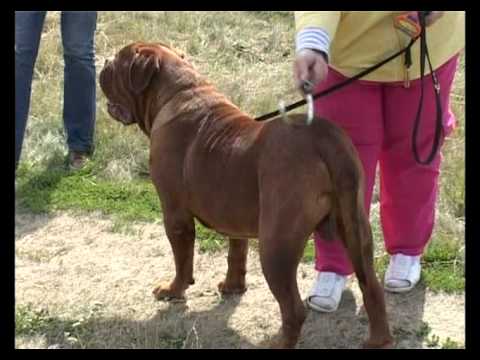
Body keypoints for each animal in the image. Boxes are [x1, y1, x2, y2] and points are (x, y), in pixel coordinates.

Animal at [98, 42, 394, 348]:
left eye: (118, 62)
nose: (104, 63)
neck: (178, 91)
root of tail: (324, 139)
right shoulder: (234, 216)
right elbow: (236, 254)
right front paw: (232, 287)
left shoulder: (174, 213)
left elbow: (183, 260)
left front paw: (173, 290)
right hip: (356, 231)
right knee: (371, 286)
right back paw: (379, 340)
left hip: (276, 245)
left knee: (294, 310)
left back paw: (280, 344)